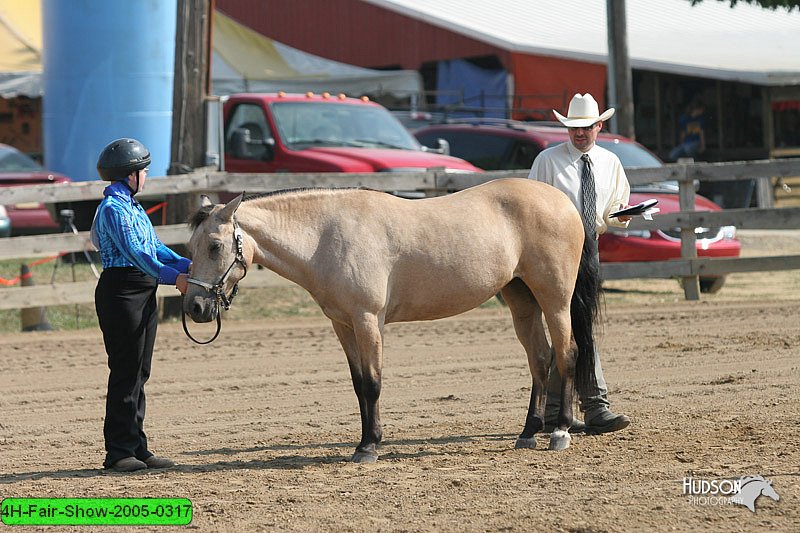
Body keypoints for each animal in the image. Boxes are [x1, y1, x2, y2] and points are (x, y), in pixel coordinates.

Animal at [183, 178, 600, 462]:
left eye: (215, 246)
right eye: (190, 246)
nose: (195, 308)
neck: (326, 236)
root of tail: (562, 201)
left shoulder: (368, 320)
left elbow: (372, 383)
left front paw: (369, 447)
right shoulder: (343, 325)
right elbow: (357, 385)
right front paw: (363, 441)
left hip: (555, 299)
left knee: (567, 353)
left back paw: (560, 432)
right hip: (521, 300)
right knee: (540, 360)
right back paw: (528, 433)